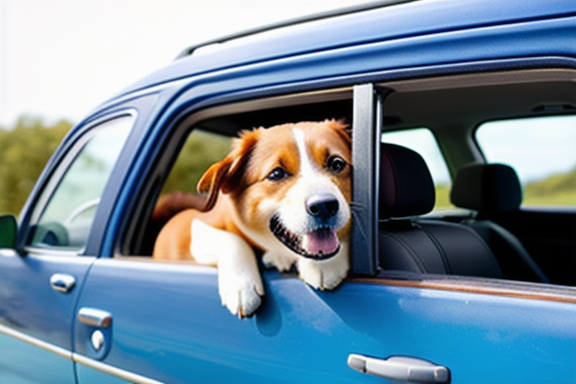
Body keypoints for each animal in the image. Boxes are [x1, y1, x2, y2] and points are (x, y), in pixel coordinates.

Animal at [153, 120, 352, 318]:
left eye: (336, 164)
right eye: (276, 174)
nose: (324, 206)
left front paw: (326, 264)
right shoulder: (198, 226)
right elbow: (232, 241)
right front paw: (241, 286)